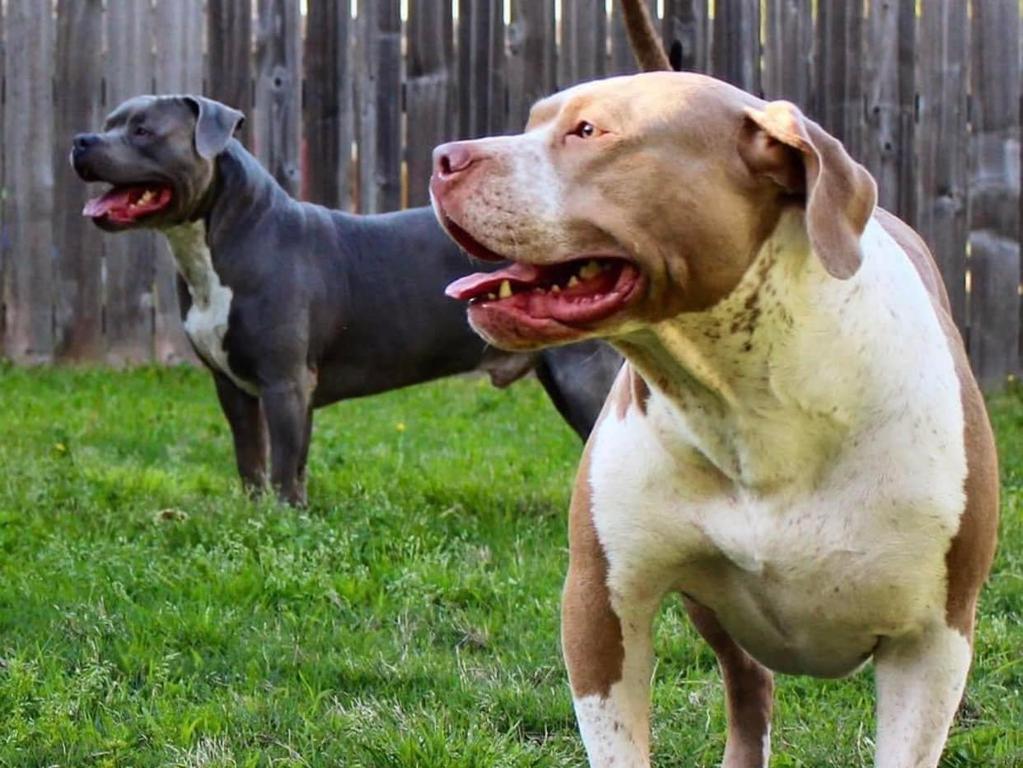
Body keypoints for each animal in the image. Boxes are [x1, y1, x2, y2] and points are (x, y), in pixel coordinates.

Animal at [70, 96, 613, 505]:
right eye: (109, 123)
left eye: (142, 131)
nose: (80, 141)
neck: (218, 242)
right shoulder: (235, 388)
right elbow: (255, 460)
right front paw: (254, 513)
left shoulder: (284, 383)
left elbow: (284, 464)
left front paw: (283, 522)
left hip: (583, 378)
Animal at [429, 72, 998, 768]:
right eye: (533, 120)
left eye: (588, 131)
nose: (445, 157)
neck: (750, 401)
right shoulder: (602, 606)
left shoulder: (932, 641)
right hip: (718, 611)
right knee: (749, 687)